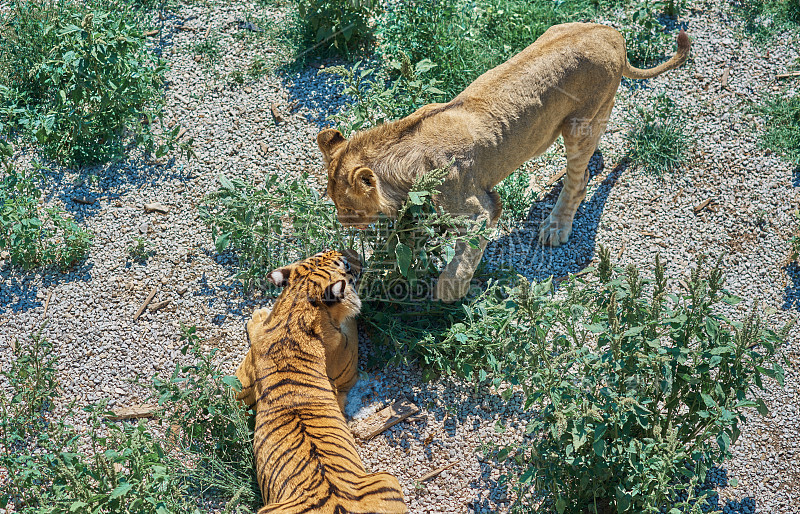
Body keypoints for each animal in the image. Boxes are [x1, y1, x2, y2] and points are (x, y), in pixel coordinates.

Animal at [231, 250, 406, 510]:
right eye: (346, 265)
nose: (357, 254)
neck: (296, 307)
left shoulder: (239, 385)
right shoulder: (347, 367)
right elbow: (350, 323)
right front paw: (259, 314)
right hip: (388, 478)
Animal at [318, 22, 688, 300]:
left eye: (348, 207)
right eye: (334, 202)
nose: (343, 222)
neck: (401, 152)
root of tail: (613, 35)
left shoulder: (480, 208)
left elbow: (463, 258)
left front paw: (447, 294)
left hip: (578, 123)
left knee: (579, 178)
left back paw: (557, 224)